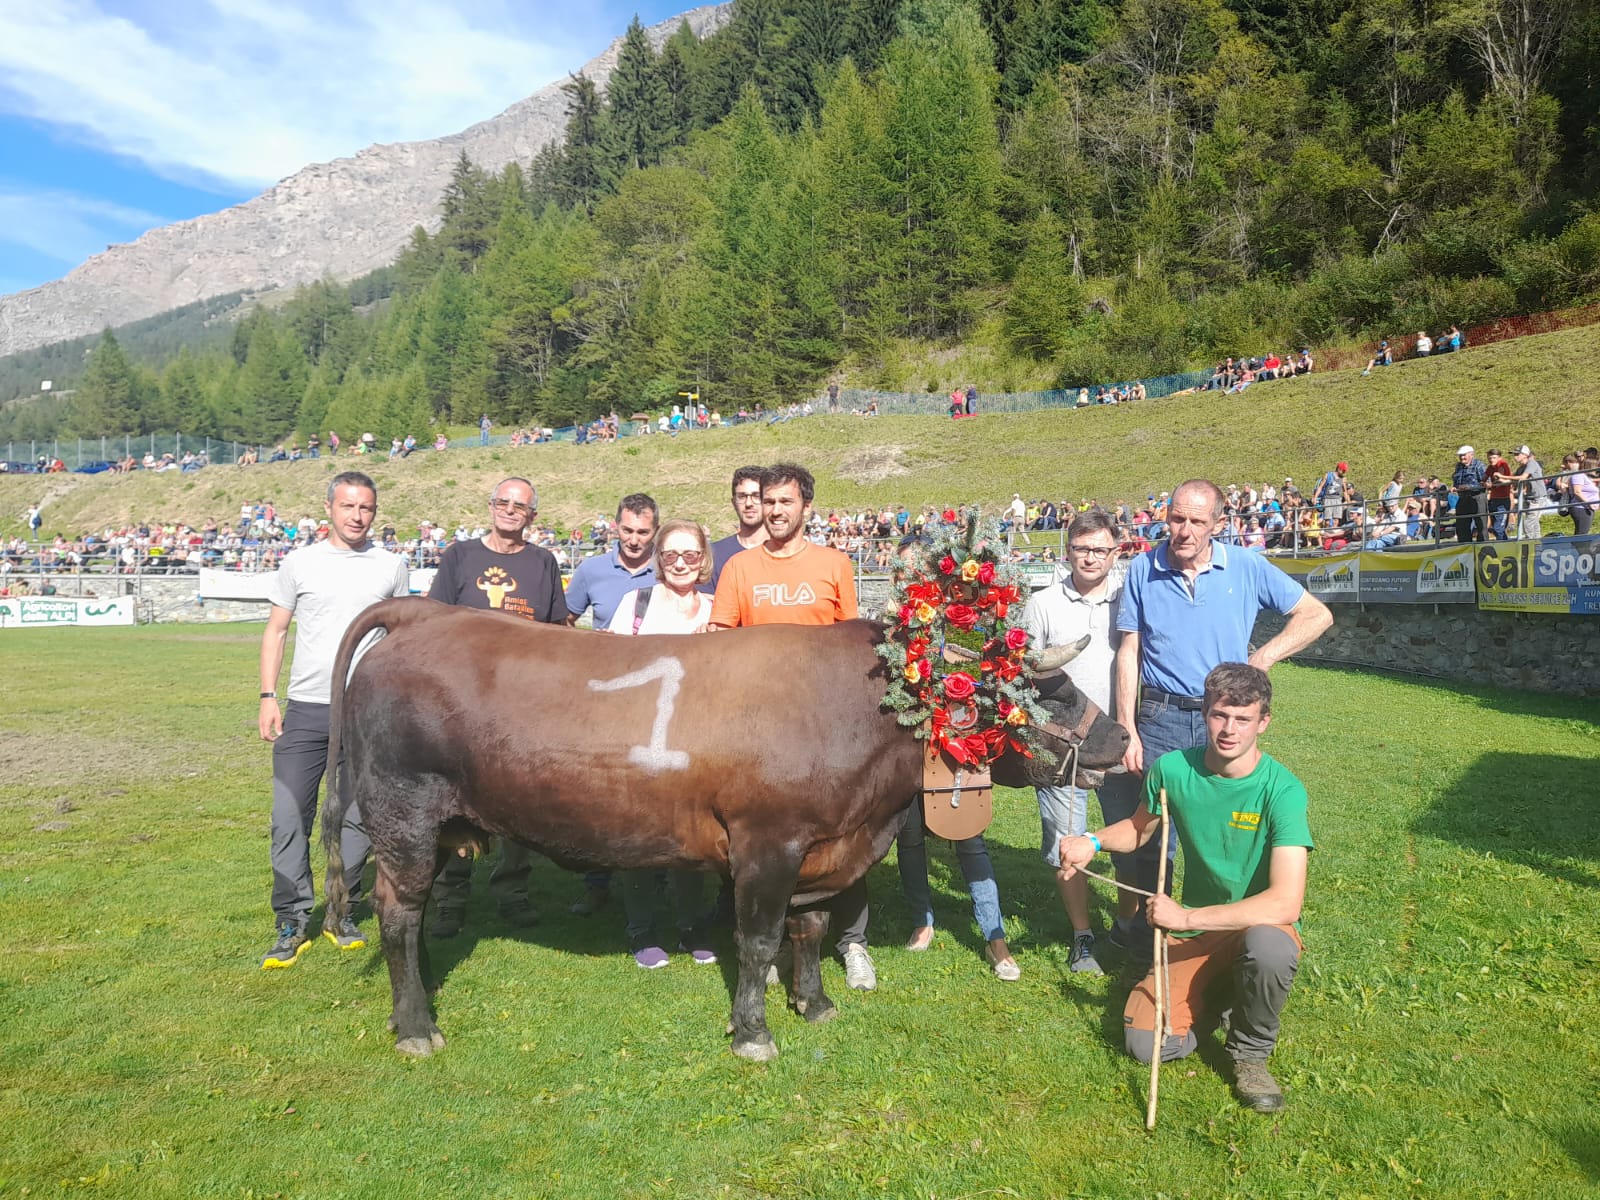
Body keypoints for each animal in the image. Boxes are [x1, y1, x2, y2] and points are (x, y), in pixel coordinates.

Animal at [321, 601, 1126, 1062]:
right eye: (1046, 691)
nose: (1121, 739)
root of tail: (424, 619)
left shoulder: (818, 851)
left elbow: (809, 932)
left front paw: (815, 1004)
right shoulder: (767, 844)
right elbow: (761, 940)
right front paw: (754, 1033)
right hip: (404, 814)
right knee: (398, 913)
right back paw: (416, 1025)